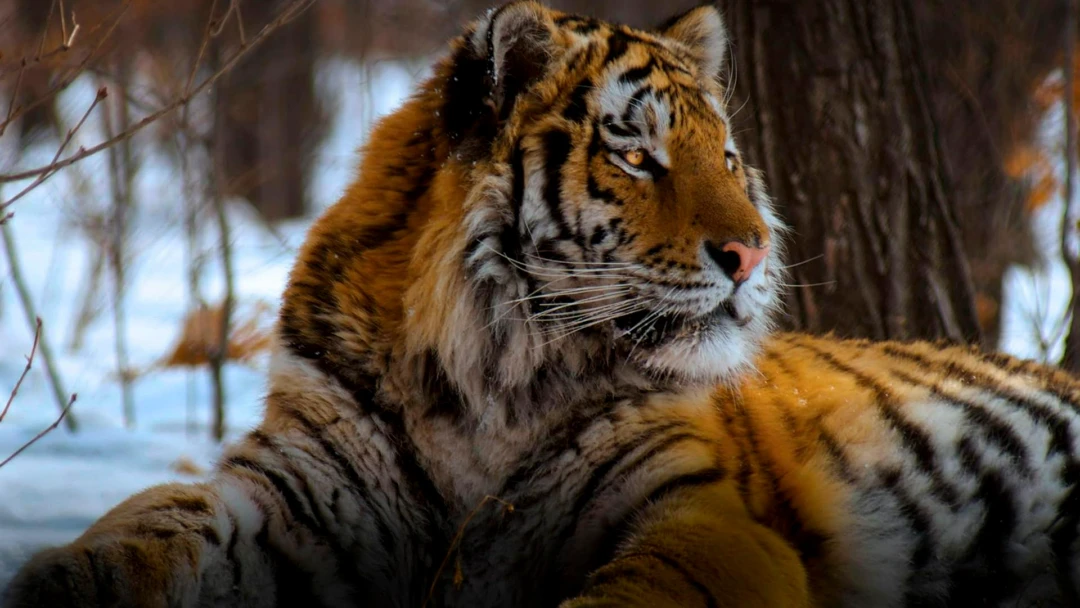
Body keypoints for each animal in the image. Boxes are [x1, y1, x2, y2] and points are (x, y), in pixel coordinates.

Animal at [5, 2, 1080, 607]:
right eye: (639, 155)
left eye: (729, 157)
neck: (485, 384)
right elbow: (155, 518)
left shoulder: (704, 521)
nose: (754, 252)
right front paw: (59, 578)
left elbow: (639, 594)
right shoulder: (292, 494)